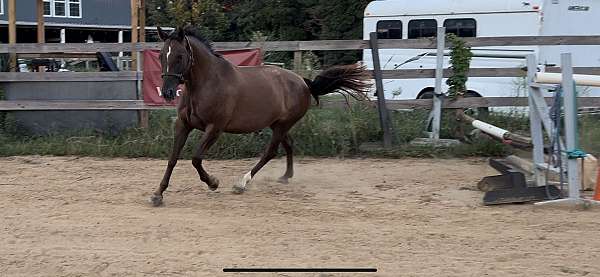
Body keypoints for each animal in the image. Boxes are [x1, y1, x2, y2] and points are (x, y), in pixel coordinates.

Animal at [150, 26, 370, 207]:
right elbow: (172, 159)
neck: (207, 83)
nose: (167, 92)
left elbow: (196, 158)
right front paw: (157, 194)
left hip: (282, 124)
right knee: (288, 144)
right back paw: (285, 177)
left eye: (180, 56)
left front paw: (213, 182)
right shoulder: (183, 125)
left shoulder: (215, 128)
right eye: (161, 55)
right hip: (277, 124)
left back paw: (242, 183)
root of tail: (303, 82)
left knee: (270, 152)